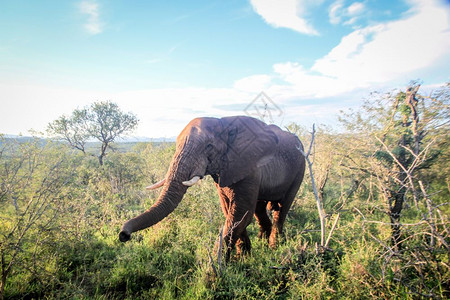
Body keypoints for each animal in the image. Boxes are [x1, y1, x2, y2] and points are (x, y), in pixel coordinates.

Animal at [119, 115, 306, 260]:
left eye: (208, 146)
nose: (123, 235)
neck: (224, 123)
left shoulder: (249, 167)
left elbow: (240, 214)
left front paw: (224, 265)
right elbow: (229, 210)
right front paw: (243, 258)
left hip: (300, 168)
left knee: (282, 208)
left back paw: (274, 248)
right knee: (260, 209)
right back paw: (263, 243)